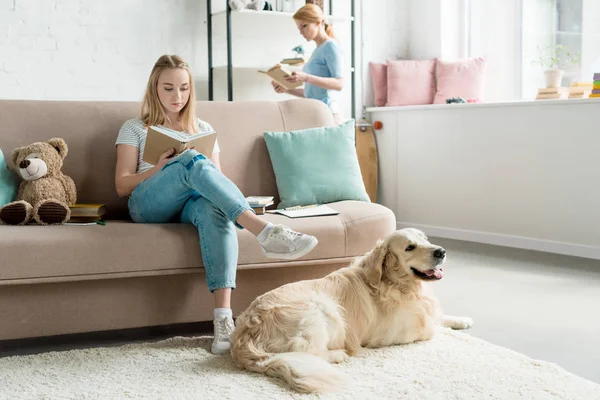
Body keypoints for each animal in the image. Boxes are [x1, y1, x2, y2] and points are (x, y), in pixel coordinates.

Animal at [230, 228, 474, 394]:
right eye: (409, 247)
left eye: (425, 239)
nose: (441, 251)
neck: (395, 284)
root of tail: (243, 339)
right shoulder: (393, 334)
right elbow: (431, 328)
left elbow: (439, 316)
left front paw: (462, 320)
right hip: (321, 309)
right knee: (310, 353)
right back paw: (339, 353)